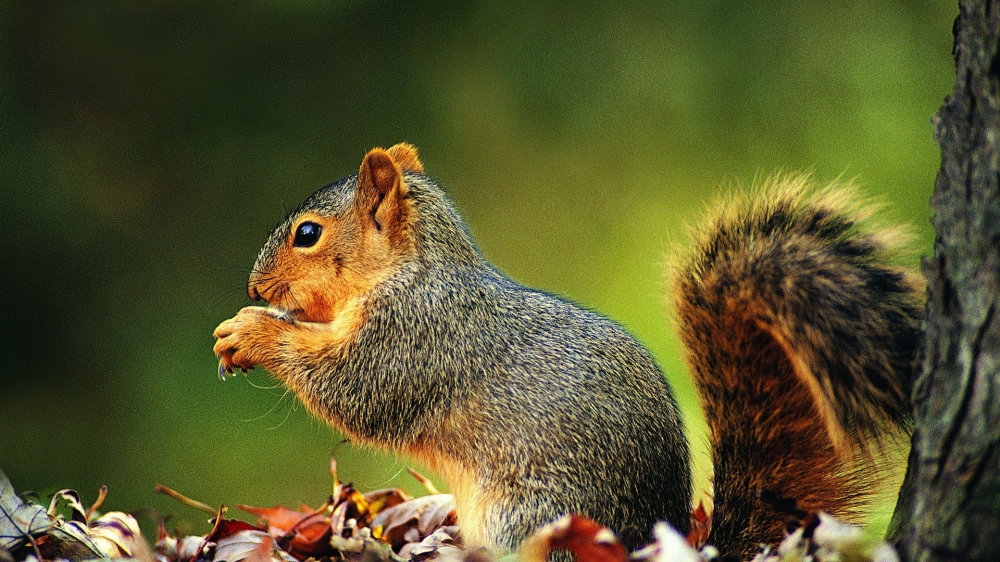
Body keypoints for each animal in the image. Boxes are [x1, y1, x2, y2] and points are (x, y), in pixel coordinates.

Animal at [215, 143, 924, 556]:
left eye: (308, 234)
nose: (253, 285)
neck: (414, 269)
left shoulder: (416, 336)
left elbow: (355, 389)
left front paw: (249, 330)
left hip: (531, 516)